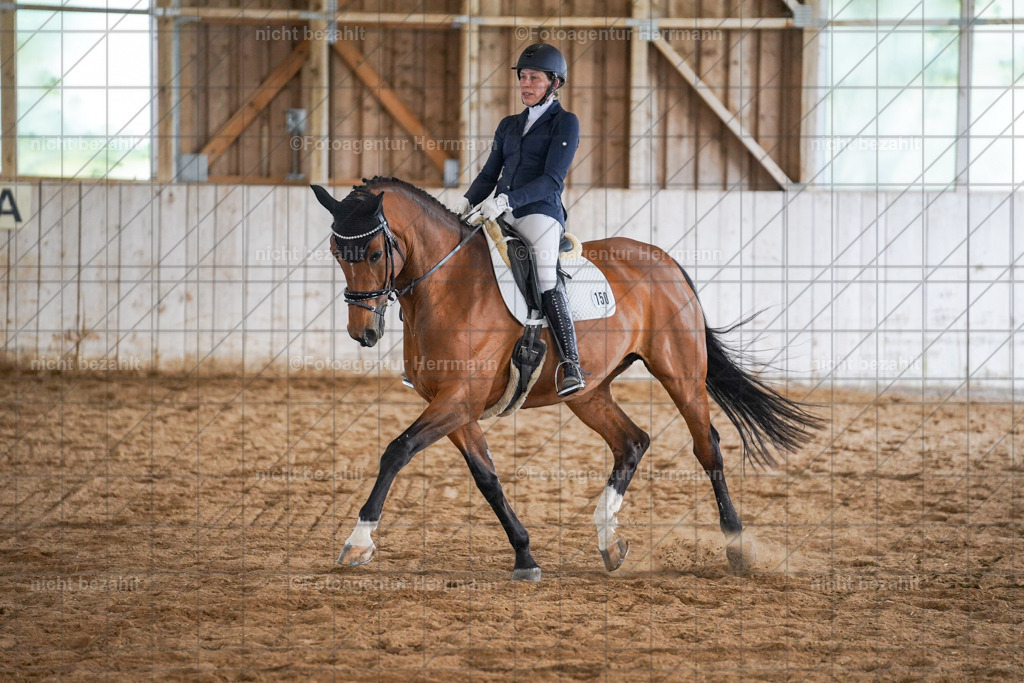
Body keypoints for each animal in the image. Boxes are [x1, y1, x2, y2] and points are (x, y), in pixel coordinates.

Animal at [311, 176, 822, 581]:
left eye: (374, 251)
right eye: (337, 251)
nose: (363, 333)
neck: (448, 286)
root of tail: (663, 259)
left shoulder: (457, 400)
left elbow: (396, 451)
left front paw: (358, 542)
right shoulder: (456, 406)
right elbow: (487, 478)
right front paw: (525, 556)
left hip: (679, 373)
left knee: (707, 446)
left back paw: (736, 549)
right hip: (588, 393)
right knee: (632, 441)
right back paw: (610, 542)